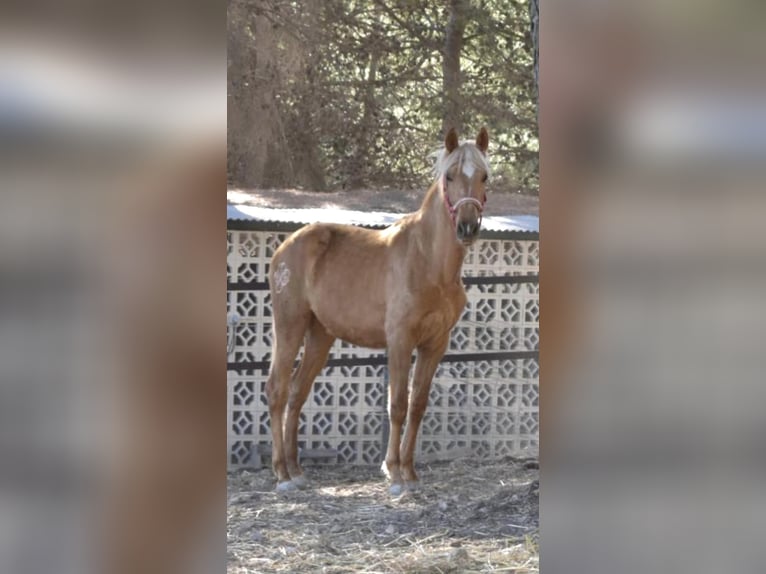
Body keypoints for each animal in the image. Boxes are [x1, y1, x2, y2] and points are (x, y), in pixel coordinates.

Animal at [268, 128, 488, 498]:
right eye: (450, 176)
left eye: (485, 176)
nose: (467, 227)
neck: (428, 262)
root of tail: (285, 246)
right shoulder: (400, 340)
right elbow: (397, 404)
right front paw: (395, 475)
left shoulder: (435, 344)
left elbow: (418, 405)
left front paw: (410, 473)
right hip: (289, 326)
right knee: (277, 391)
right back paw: (282, 475)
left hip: (320, 334)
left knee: (297, 393)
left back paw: (297, 471)